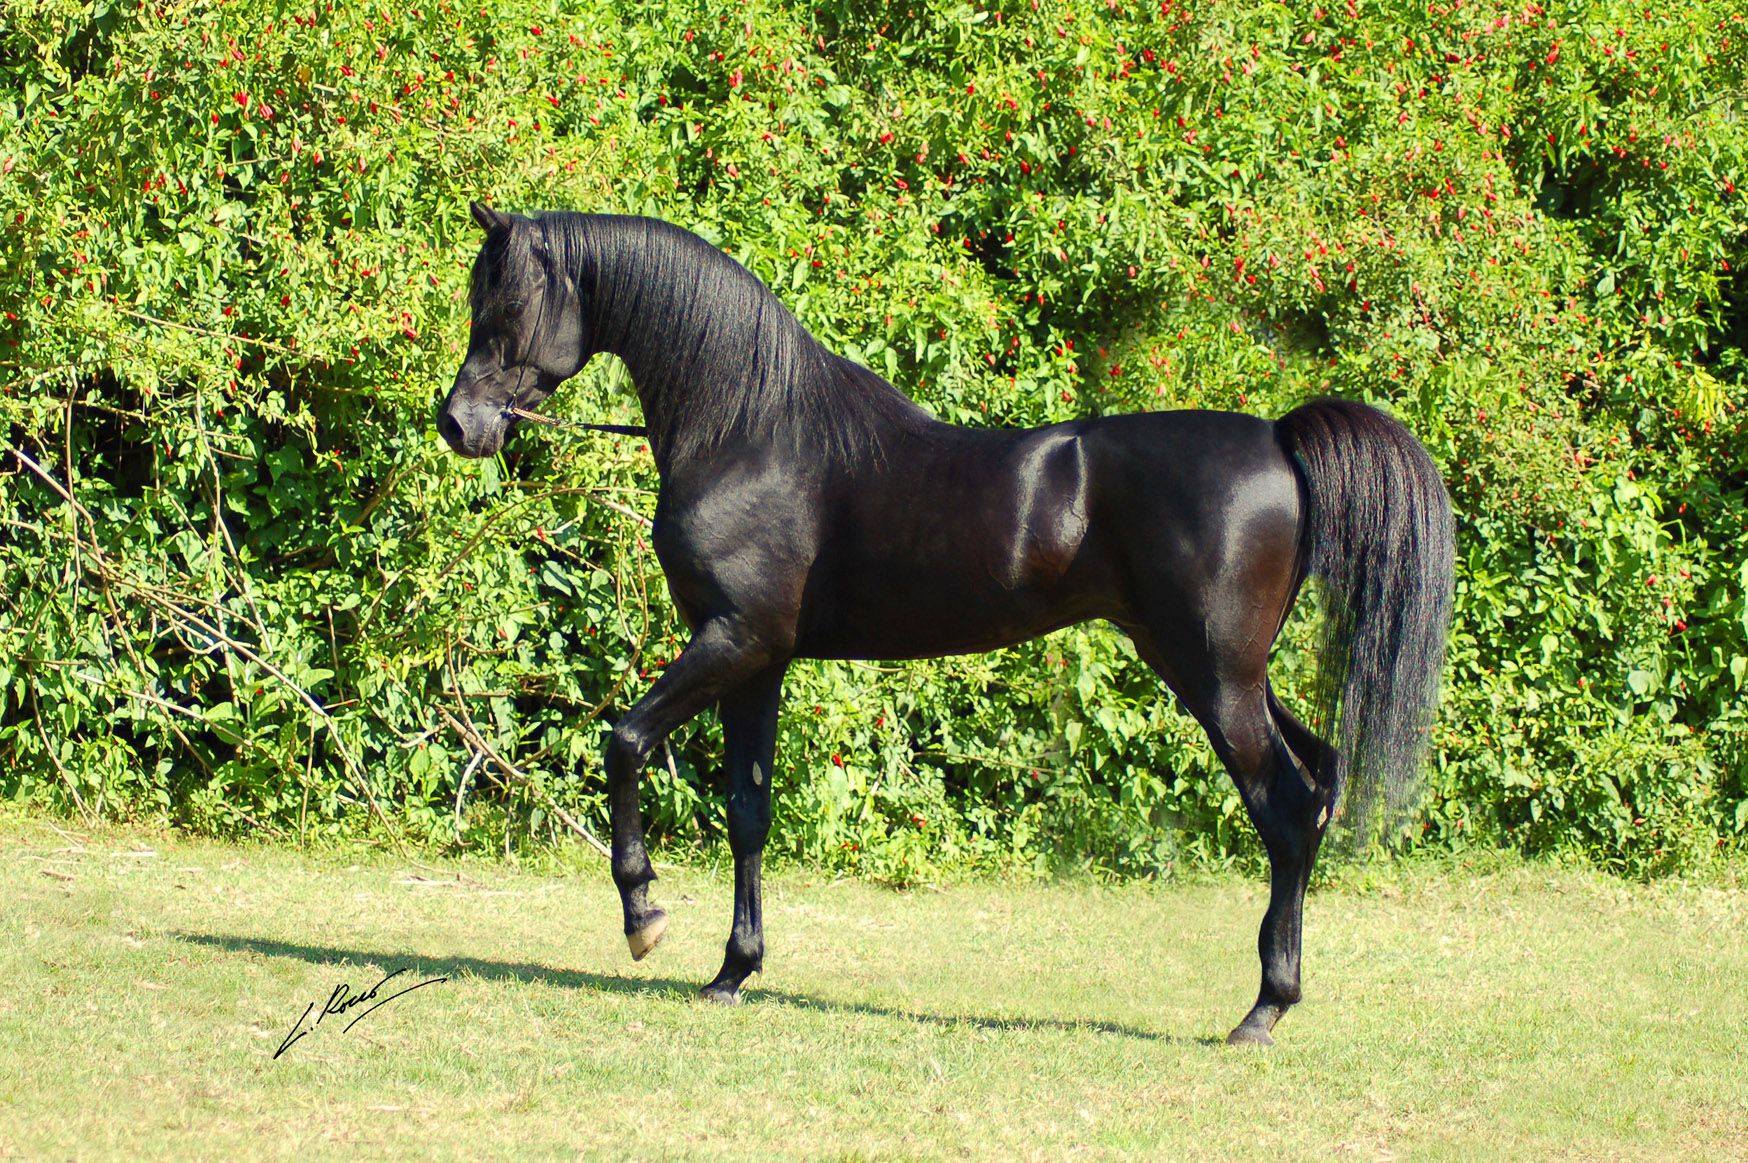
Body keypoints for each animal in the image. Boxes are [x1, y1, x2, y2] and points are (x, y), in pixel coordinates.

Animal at [438, 203, 1455, 1046]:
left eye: (509, 304)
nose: (459, 424)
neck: (753, 429)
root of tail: (1278, 439)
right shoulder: (760, 662)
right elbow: (747, 813)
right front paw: (733, 969)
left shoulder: (731, 640)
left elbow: (624, 741)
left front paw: (644, 915)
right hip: (1227, 670)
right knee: (1316, 783)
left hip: (1214, 676)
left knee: (1282, 808)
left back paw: (1262, 1010)